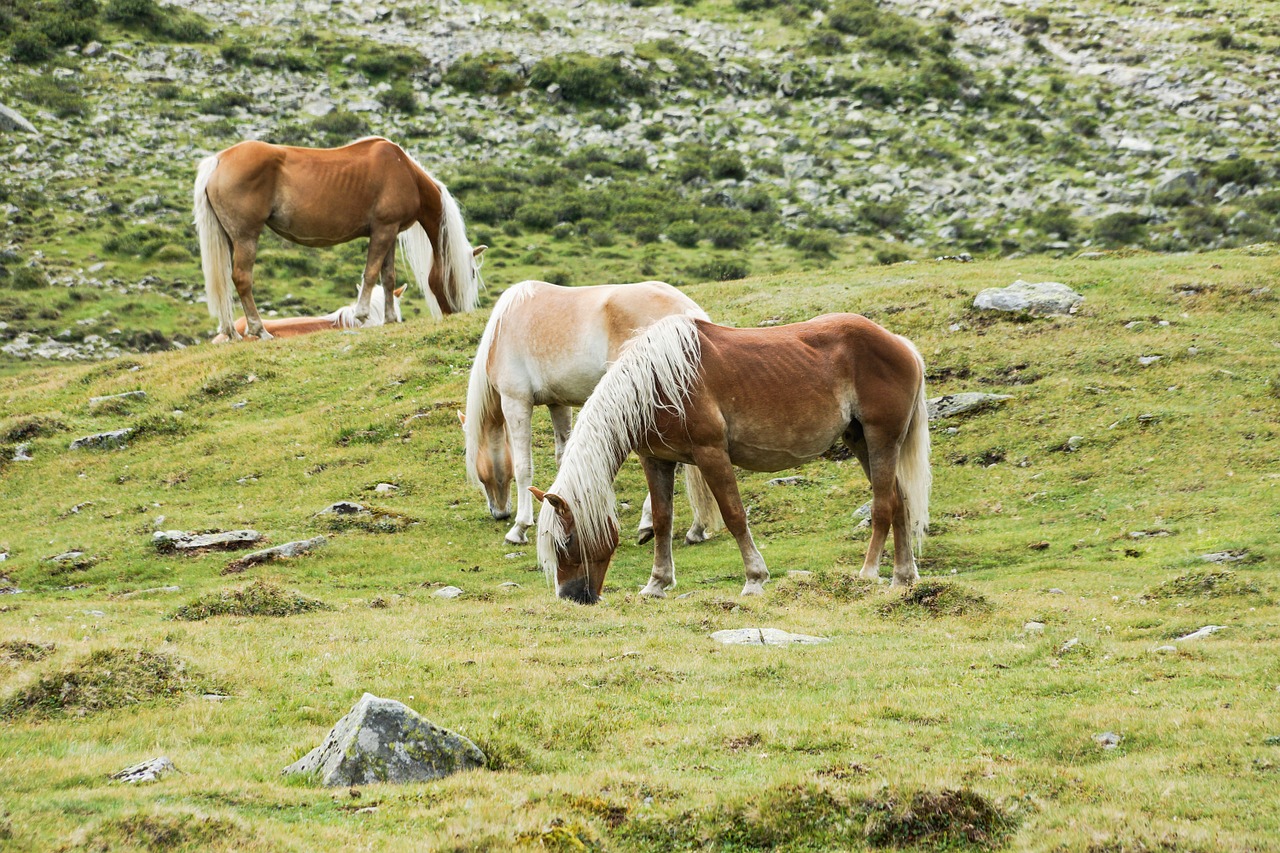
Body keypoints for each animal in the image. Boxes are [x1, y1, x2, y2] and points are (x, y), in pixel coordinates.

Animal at [463, 279, 727, 545]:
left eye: (478, 469)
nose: (499, 513)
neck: (503, 326)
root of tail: (688, 312)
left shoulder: (515, 402)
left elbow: (522, 466)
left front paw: (519, 528)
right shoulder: (558, 404)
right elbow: (562, 457)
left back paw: (650, 523)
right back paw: (695, 529)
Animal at [529, 313, 931, 604]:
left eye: (566, 541)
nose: (571, 597)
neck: (656, 382)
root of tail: (901, 345)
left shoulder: (711, 454)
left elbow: (734, 515)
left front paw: (754, 579)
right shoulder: (656, 460)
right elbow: (662, 521)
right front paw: (656, 584)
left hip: (880, 439)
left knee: (883, 505)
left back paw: (869, 573)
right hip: (861, 440)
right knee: (898, 502)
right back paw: (903, 577)